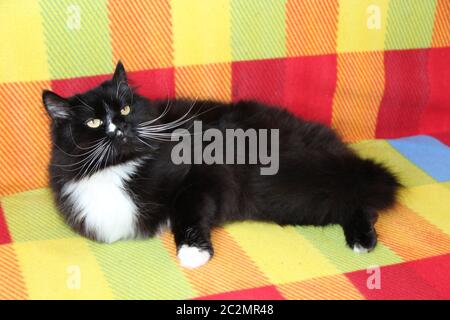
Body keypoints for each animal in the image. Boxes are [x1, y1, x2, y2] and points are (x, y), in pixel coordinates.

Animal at [43, 61, 400, 268]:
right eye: (93, 122)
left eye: (126, 110)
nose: (121, 127)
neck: (117, 168)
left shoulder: (200, 174)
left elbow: (187, 213)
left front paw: (193, 252)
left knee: (361, 201)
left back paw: (362, 240)